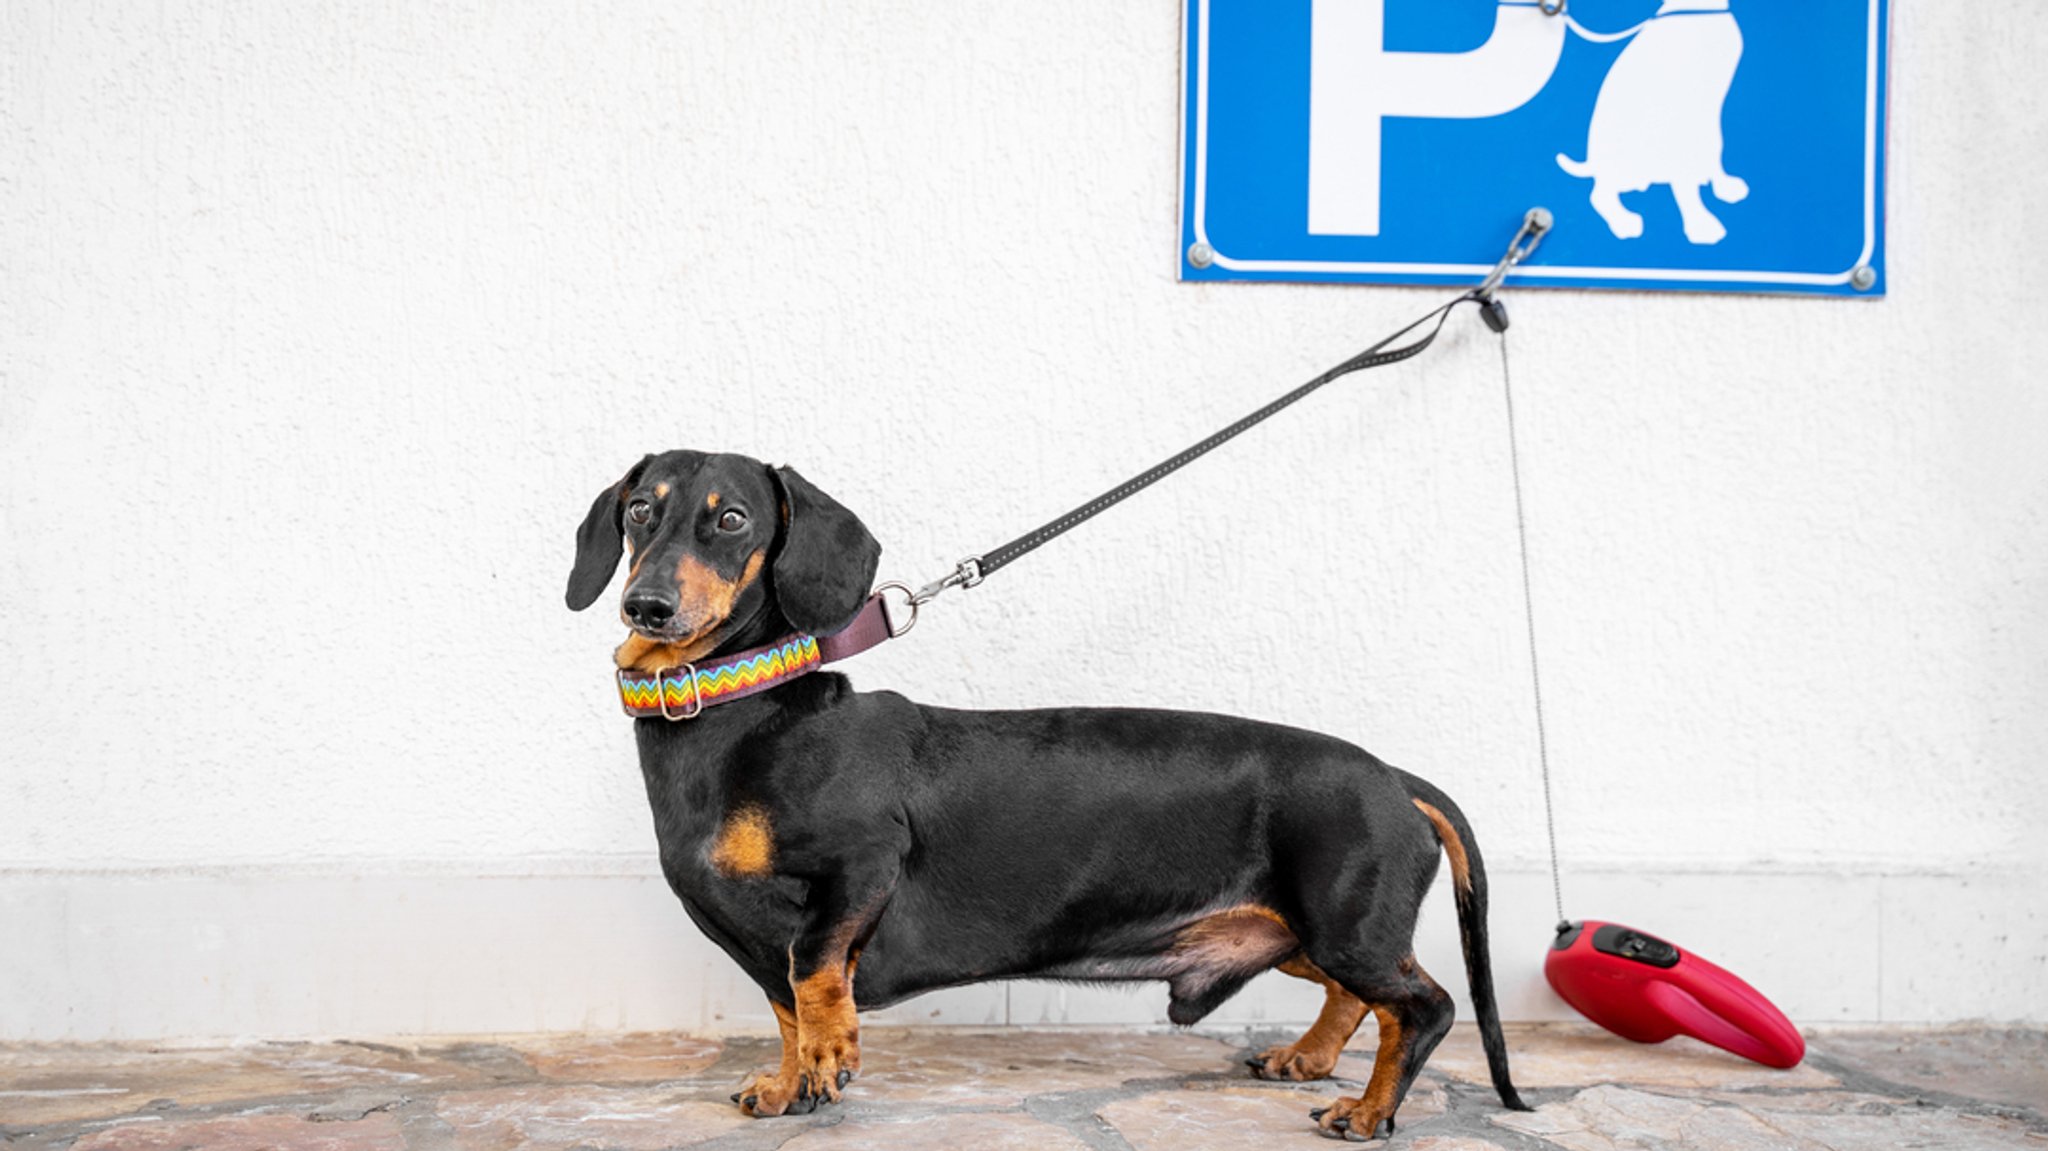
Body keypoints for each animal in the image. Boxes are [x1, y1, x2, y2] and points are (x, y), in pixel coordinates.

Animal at [569, 448, 1531, 1138]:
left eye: (731, 518)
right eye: (640, 510)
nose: (645, 606)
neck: (740, 714)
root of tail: (1395, 776)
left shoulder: (864, 867)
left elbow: (814, 975)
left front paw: (831, 1054)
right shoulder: (760, 939)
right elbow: (782, 1007)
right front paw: (789, 1083)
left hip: (1343, 923)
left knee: (1426, 1006)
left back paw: (1368, 1110)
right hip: (1301, 930)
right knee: (1360, 996)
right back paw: (1309, 1058)